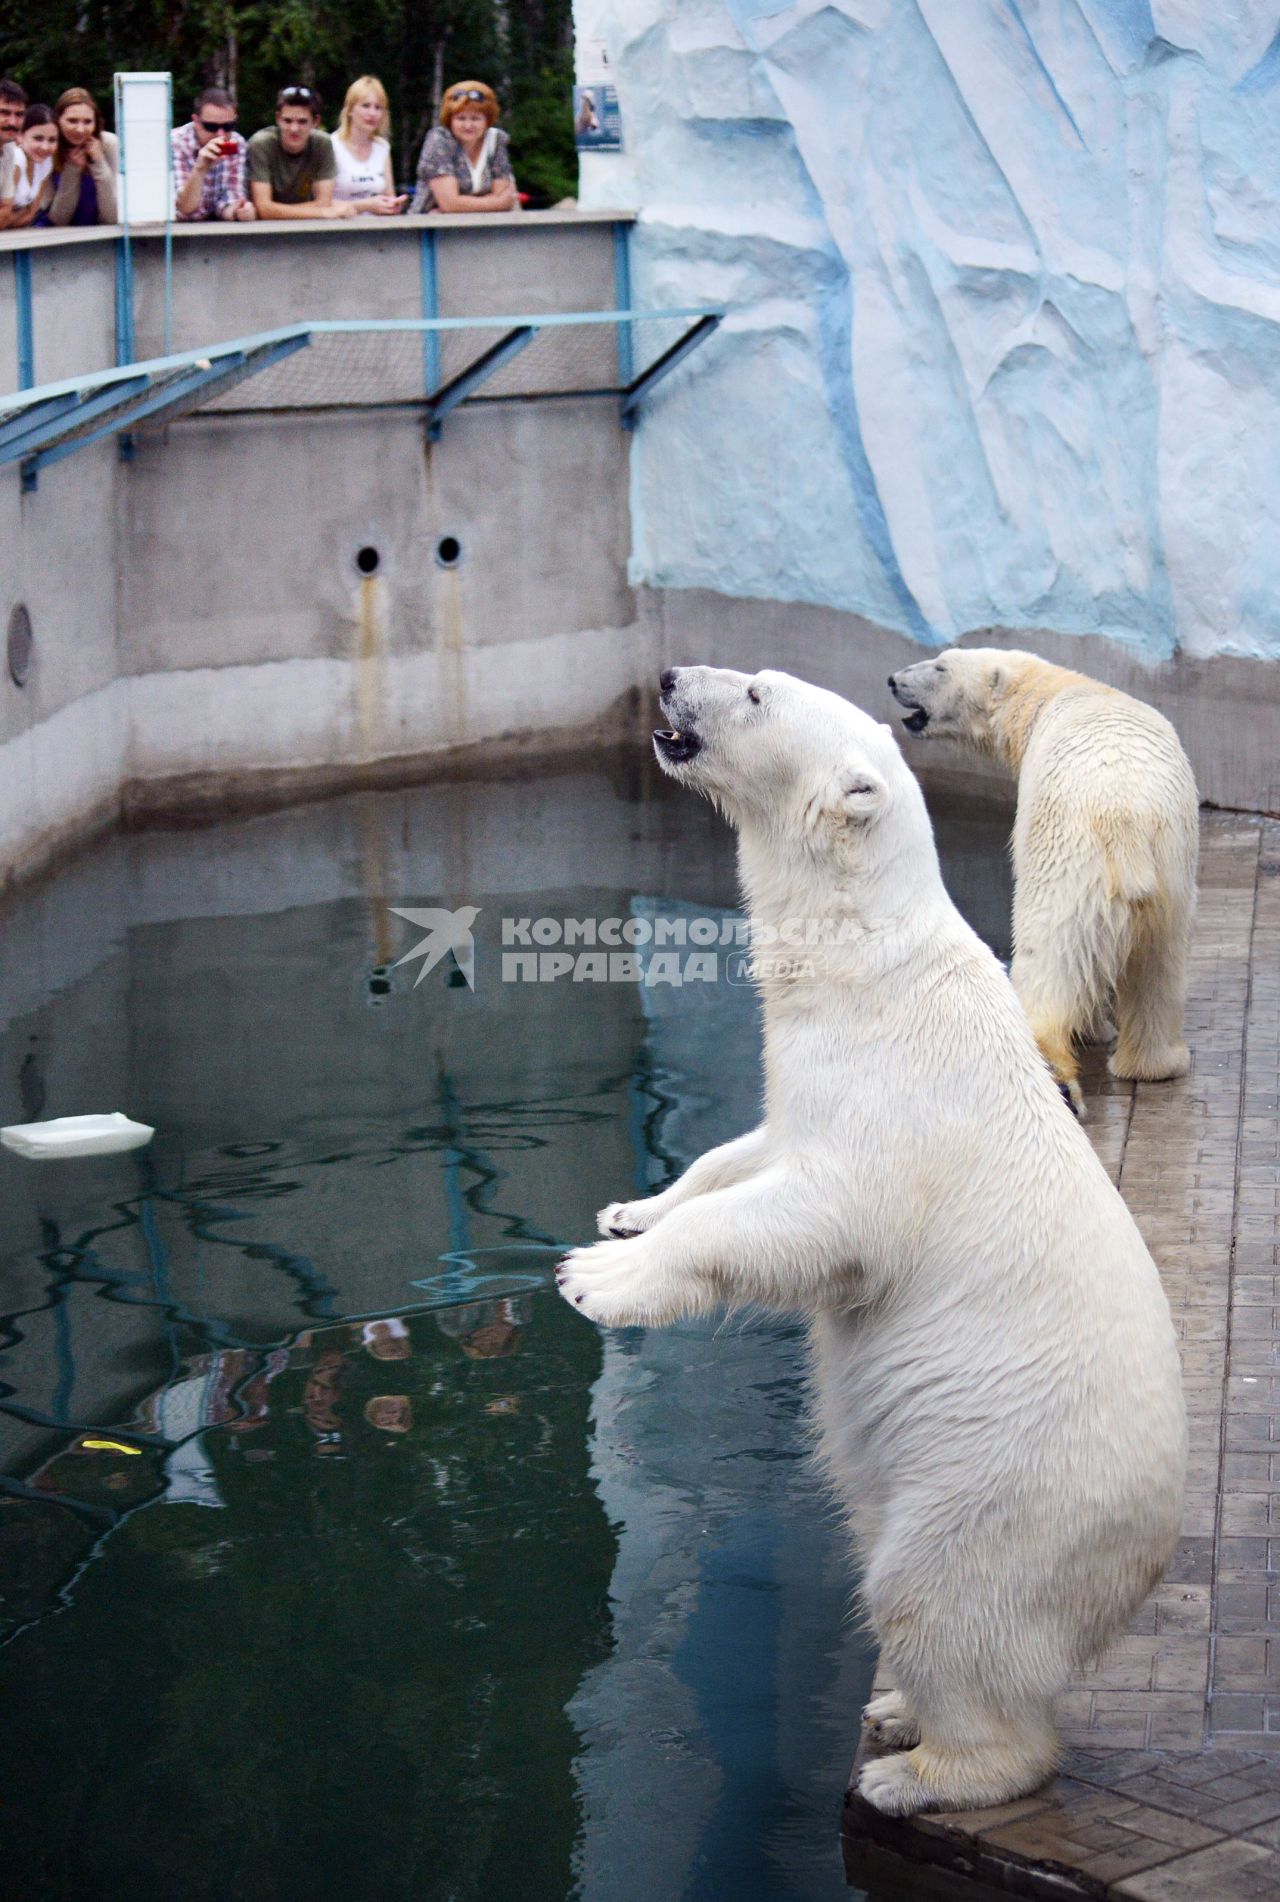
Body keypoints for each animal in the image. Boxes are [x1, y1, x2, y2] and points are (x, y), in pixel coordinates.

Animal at [890, 650, 1202, 1110]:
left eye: (941, 666)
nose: (894, 680)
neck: (1054, 691)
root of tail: (1126, 818)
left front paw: (1091, 1030)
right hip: (1171, 867)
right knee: (1160, 962)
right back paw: (1156, 1063)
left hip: (1071, 862)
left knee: (1052, 954)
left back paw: (1053, 1071)